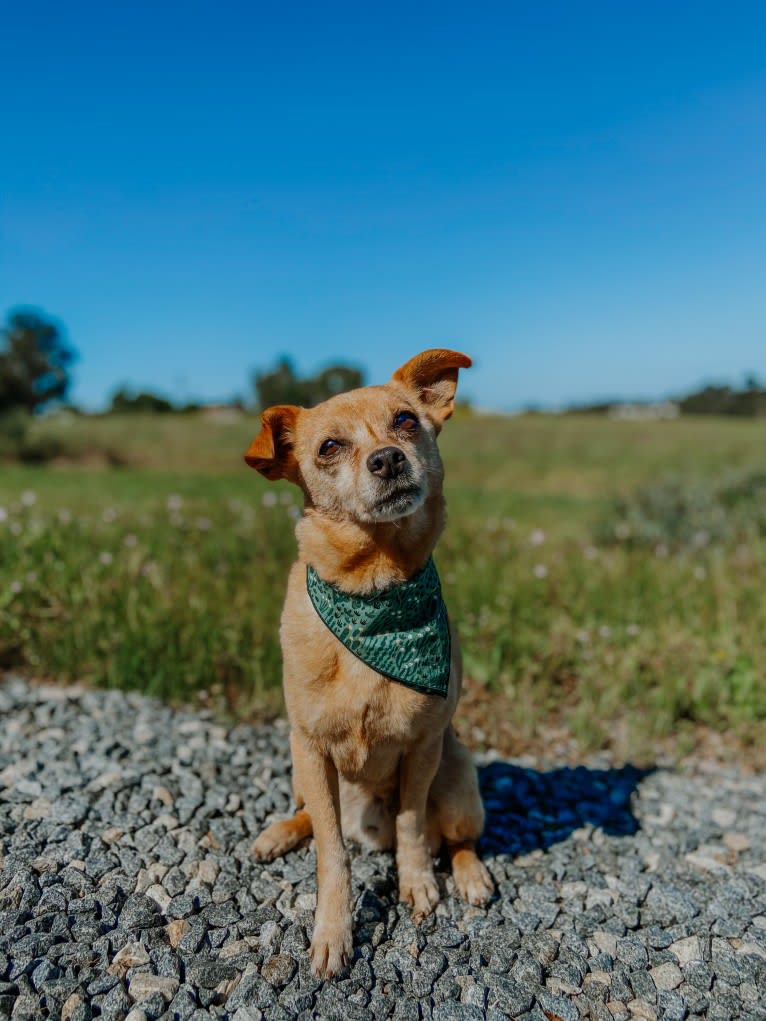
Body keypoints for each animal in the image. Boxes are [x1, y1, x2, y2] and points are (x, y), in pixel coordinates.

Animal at [246, 353, 492, 980]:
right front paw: (333, 932)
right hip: (301, 770)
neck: (372, 590)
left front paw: (418, 885)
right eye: (329, 447)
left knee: (456, 838)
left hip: (458, 778)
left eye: (405, 420)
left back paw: (470, 875)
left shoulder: (423, 748)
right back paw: (279, 832)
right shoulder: (310, 747)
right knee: (315, 818)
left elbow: (411, 824)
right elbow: (331, 854)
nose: (387, 459)